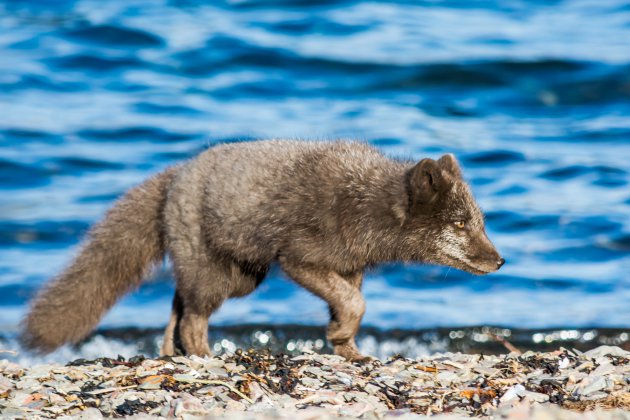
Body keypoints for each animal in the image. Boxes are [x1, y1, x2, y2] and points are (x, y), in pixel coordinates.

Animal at [22, 140, 506, 360]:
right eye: (459, 224)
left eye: (479, 222)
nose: (500, 260)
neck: (368, 201)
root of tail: (177, 173)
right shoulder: (299, 259)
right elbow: (355, 303)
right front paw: (340, 340)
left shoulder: (349, 266)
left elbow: (351, 304)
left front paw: (347, 349)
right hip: (223, 276)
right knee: (192, 318)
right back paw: (203, 357)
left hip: (238, 276)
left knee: (178, 306)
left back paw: (171, 355)